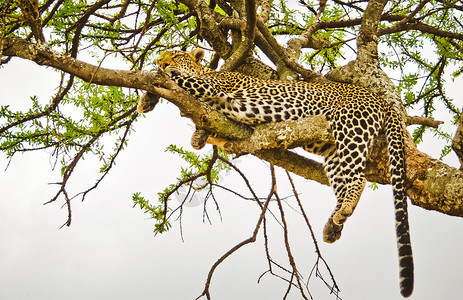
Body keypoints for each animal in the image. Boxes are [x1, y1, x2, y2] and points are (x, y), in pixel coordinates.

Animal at [154, 48, 416, 296]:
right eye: (161, 57)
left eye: (174, 56)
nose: (161, 63)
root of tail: (380, 99)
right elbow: (206, 128)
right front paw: (199, 137)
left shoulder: (212, 86)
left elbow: (180, 80)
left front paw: (159, 79)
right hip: (333, 151)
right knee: (342, 181)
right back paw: (334, 224)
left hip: (350, 127)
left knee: (358, 178)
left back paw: (345, 208)